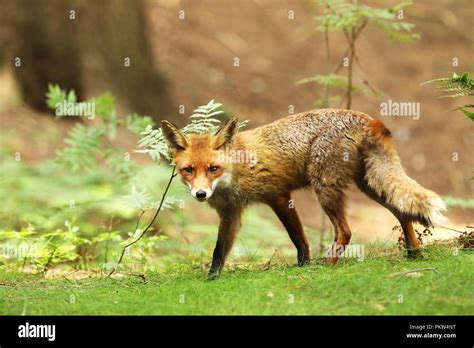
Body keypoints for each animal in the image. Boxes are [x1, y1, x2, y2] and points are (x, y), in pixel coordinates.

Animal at [161, 110, 446, 278]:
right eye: (188, 170)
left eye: (213, 168)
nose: (200, 194)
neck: (236, 171)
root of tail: (366, 117)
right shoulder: (230, 214)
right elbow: (219, 251)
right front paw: (212, 278)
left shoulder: (278, 195)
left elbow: (298, 238)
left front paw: (304, 266)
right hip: (369, 184)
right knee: (402, 211)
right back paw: (413, 254)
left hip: (325, 188)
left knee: (345, 231)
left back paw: (327, 266)